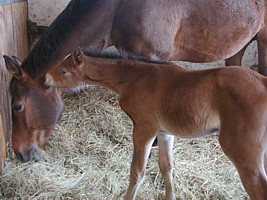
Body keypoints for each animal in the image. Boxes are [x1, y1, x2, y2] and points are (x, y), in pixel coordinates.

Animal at [44, 48, 267, 200]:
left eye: (63, 71)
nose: (45, 79)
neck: (134, 78)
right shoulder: (164, 132)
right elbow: (166, 166)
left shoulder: (144, 128)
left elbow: (137, 171)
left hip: (242, 150)